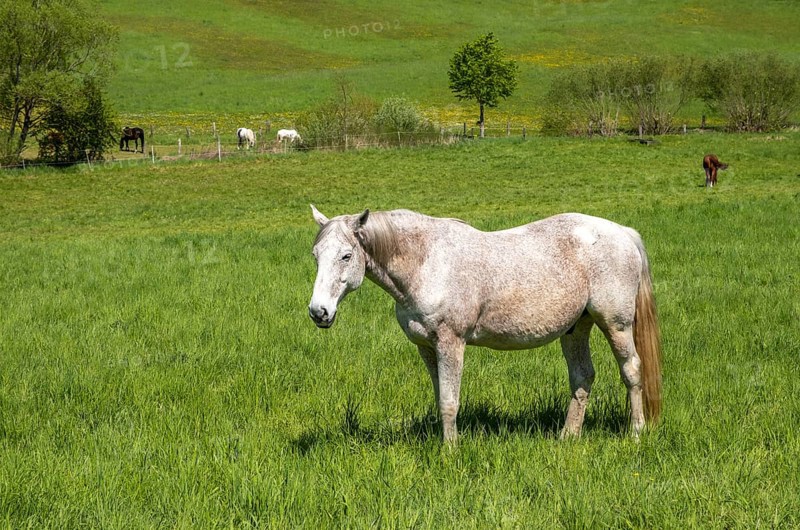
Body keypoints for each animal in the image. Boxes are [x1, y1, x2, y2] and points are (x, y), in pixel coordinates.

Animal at [308, 206, 662, 443]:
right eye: (315, 255)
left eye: (346, 255)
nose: (318, 312)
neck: (426, 263)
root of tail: (624, 233)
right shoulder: (426, 347)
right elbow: (440, 396)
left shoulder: (450, 342)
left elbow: (449, 402)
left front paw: (450, 452)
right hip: (576, 328)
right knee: (583, 377)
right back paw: (567, 437)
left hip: (615, 324)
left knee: (632, 371)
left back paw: (636, 433)